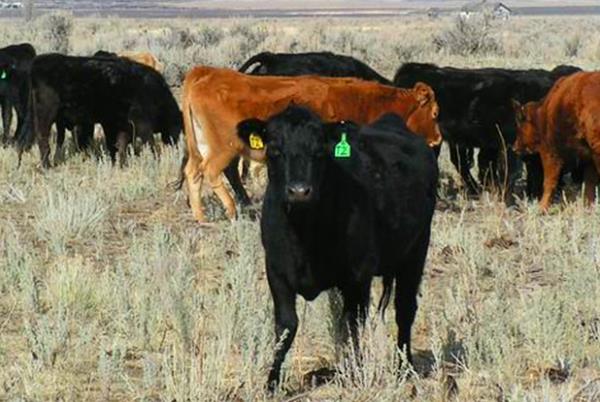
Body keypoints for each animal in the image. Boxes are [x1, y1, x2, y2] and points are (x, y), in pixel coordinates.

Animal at [17, 53, 181, 168]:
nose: (175, 145)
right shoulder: (140, 123)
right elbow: (150, 144)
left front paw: (121, 164)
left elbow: (120, 144)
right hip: (46, 115)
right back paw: (47, 166)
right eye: (180, 126)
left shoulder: (120, 123)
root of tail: (38, 61)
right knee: (42, 138)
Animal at [179, 65, 441, 222]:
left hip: (202, 146)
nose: (438, 138)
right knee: (211, 171)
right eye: (435, 113)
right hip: (224, 147)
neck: (365, 104)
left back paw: (200, 216)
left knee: (193, 172)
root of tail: (208, 73)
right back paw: (232, 210)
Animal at [235, 105, 437, 390]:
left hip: (416, 251)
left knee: (405, 310)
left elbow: (351, 325)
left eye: (320, 151)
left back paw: (404, 368)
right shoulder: (276, 271)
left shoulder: (358, 276)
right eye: (274, 150)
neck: (304, 233)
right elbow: (286, 326)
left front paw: (356, 373)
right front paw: (271, 382)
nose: (299, 191)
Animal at [513, 71, 600, 211]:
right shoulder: (589, 159)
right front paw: (588, 205)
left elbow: (549, 181)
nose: (514, 147)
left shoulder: (550, 152)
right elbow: (590, 183)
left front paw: (542, 207)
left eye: (520, 125)